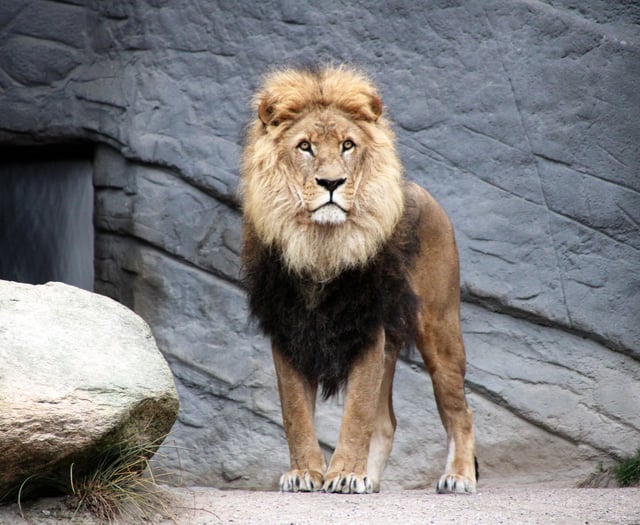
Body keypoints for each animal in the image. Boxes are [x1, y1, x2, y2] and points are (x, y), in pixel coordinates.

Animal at [239, 64, 476, 492]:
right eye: (305, 147)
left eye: (348, 145)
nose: (332, 183)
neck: (320, 246)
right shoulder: (287, 329)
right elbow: (295, 413)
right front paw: (306, 472)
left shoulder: (366, 327)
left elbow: (356, 414)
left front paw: (346, 473)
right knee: (387, 422)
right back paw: (373, 480)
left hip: (439, 327)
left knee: (461, 412)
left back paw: (458, 477)